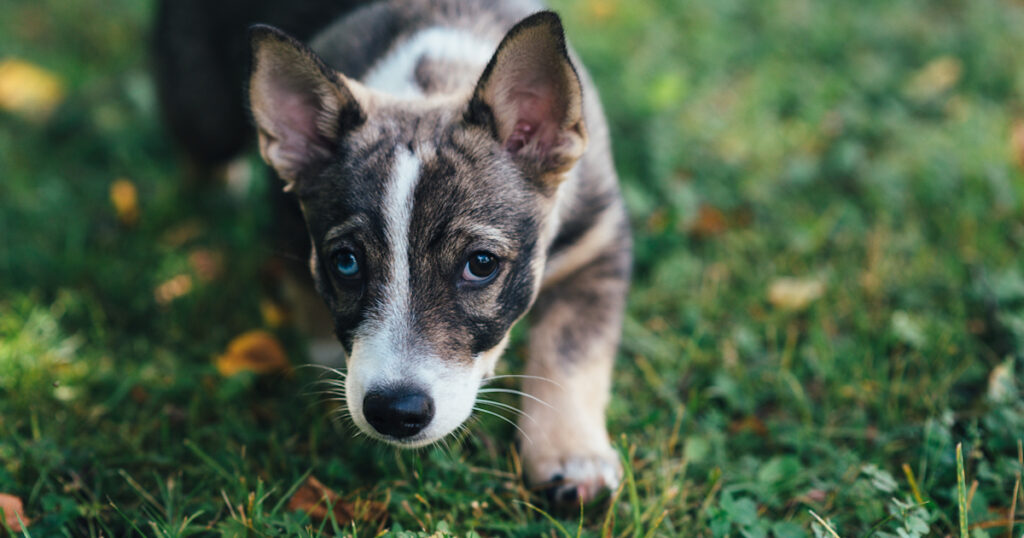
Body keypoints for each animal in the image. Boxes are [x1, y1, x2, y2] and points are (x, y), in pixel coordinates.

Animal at [247, 0, 630, 504]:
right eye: (345, 262)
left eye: (481, 264)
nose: (394, 412)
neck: (432, 81)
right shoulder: (285, 217)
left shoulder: (596, 244)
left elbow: (572, 351)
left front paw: (573, 459)